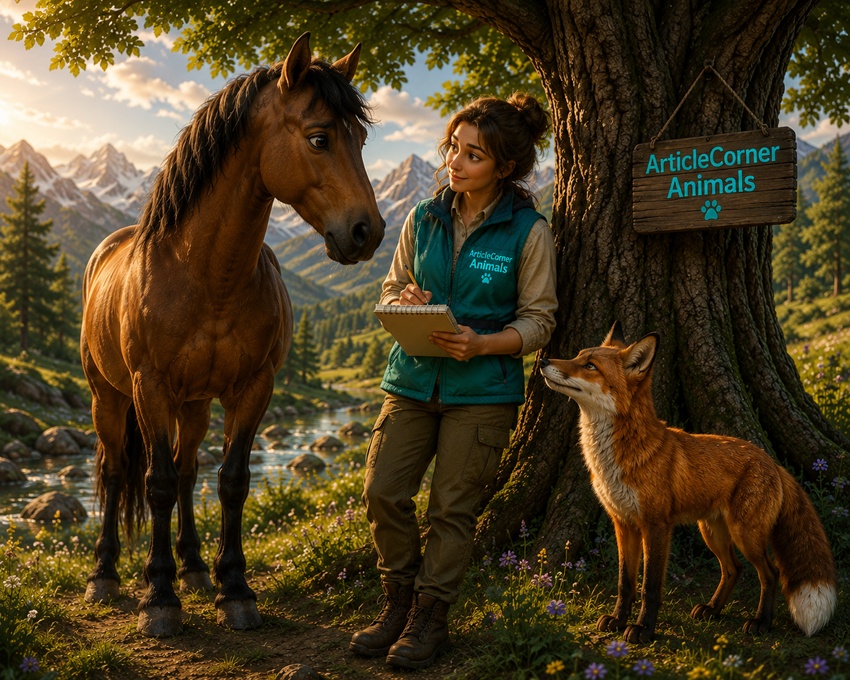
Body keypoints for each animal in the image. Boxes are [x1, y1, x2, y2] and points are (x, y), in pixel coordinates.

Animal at [80, 32, 384, 637]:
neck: (207, 277)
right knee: (115, 468)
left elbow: (231, 481)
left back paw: (194, 568)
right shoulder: (150, 387)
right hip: (110, 396)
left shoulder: (253, 388)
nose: (369, 232)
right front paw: (159, 598)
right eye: (320, 137)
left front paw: (233, 587)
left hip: (194, 403)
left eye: (361, 138)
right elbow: (156, 483)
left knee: (189, 468)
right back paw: (105, 574)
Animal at [540, 322, 836, 643]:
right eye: (578, 355)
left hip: (746, 534)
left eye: (590, 366)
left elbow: (650, 586)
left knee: (769, 574)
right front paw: (618, 620)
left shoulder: (656, 525)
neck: (617, 456)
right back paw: (712, 609)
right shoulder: (623, 523)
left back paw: (761, 622)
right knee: (734, 569)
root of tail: (773, 461)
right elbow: (625, 582)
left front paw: (644, 629)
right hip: (712, 531)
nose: (542, 360)